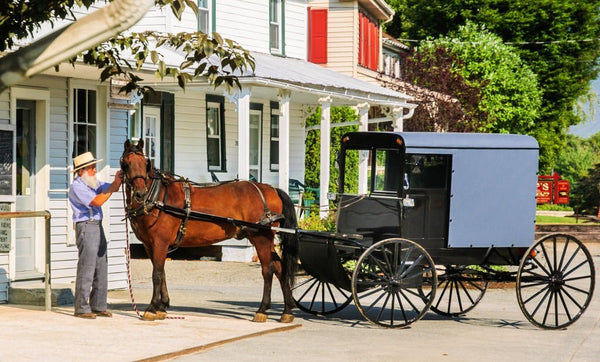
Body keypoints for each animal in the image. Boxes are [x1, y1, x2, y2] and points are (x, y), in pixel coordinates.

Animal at [120, 139, 298, 322]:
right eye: (125, 164)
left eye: (145, 164)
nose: (140, 193)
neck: (157, 197)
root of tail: (271, 189)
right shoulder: (150, 245)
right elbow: (161, 272)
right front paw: (162, 307)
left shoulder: (160, 243)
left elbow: (156, 274)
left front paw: (152, 307)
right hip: (266, 240)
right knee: (280, 268)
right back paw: (287, 311)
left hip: (261, 238)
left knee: (268, 270)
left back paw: (262, 310)